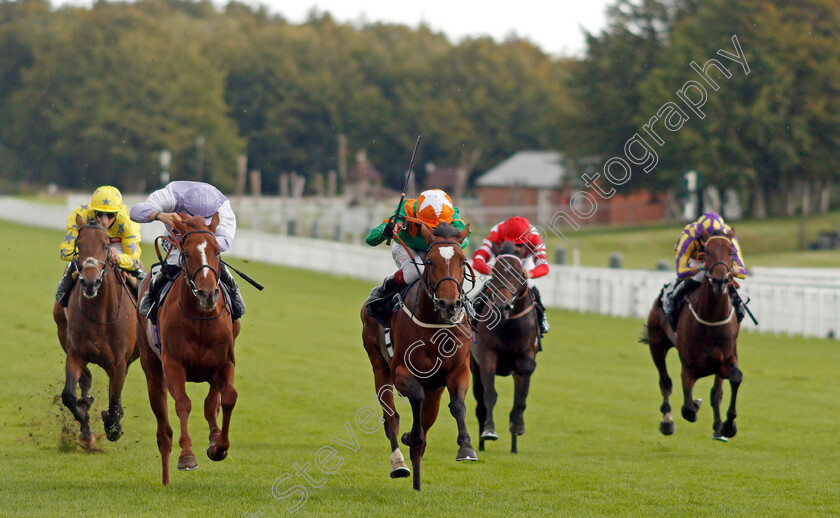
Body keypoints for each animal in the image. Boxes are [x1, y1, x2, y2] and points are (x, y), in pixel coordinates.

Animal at [52, 213, 139, 448]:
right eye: (78, 245)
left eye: (106, 245)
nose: (90, 282)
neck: (101, 316)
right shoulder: (75, 353)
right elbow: (69, 396)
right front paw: (86, 432)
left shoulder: (119, 361)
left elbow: (113, 399)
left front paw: (113, 427)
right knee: (85, 380)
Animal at [135, 213, 240, 486]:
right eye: (186, 253)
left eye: (217, 251)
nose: (207, 293)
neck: (200, 318)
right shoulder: (173, 364)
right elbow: (183, 403)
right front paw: (187, 455)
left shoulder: (225, 362)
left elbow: (228, 397)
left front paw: (219, 446)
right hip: (152, 369)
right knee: (163, 428)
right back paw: (165, 476)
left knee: (212, 401)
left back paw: (214, 436)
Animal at [360, 219, 480, 492]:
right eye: (431, 261)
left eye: (462, 260)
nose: (450, 304)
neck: (437, 326)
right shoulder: (401, 371)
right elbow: (414, 399)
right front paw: (409, 436)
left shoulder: (458, 371)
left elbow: (458, 405)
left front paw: (466, 447)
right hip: (378, 366)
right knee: (391, 417)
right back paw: (399, 463)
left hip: (435, 389)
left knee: (426, 421)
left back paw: (416, 480)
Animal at [472, 242, 540, 452]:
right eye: (494, 272)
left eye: (519, 274)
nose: (502, 306)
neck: (509, 323)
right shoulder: (486, 355)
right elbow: (490, 395)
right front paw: (489, 431)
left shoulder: (525, 356)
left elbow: (520, 398)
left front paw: (517, 425)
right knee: (480, 406)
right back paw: (481, 444)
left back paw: (514, 447)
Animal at [644, 231, 740, 442]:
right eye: (707, 252)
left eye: (731, 252)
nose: (720, 281)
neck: (711, 319)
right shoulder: (688, 367)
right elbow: (688, 409)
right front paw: (694, 405)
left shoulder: (725, 360)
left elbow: (730, 383)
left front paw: (727, 426)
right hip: (656, 343)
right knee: (665, 382)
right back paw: (667, 420)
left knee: (716, 393)